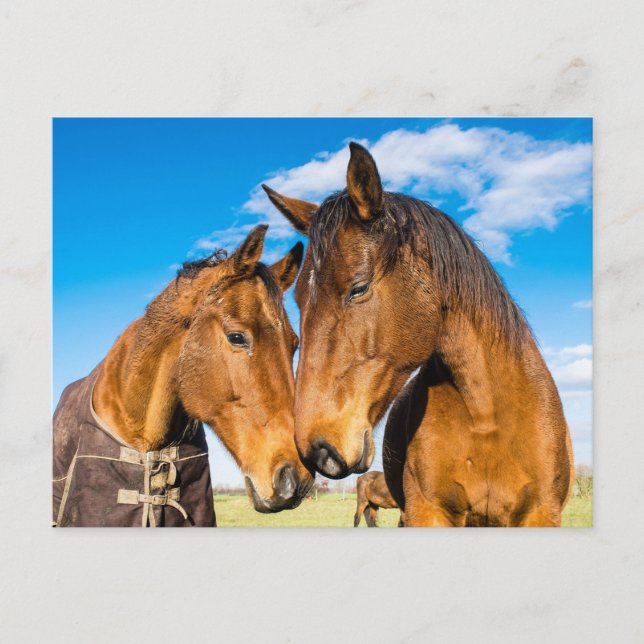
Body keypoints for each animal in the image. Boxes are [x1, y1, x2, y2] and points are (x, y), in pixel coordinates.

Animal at [263, 142, 574, 527]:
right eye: (299, 300)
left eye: (358, 288)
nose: (317, 451)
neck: (486, 417)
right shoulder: (428, 512)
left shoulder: (540, 513)